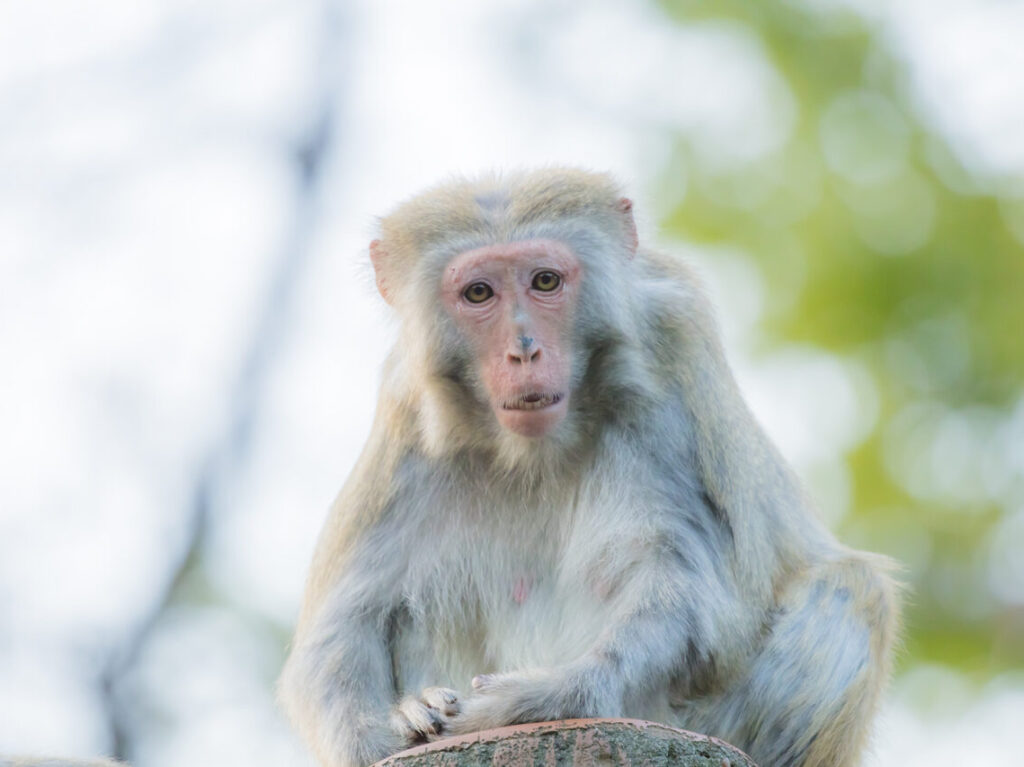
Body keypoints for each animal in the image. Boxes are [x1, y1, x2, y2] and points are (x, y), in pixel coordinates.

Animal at [276, 167, 901, 765]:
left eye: (545, 282)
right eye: (478, 292)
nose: (524, 349)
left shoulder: (670, 355)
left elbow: (688, 590)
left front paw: (545, 696)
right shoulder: (406, 411)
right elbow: (345, 625)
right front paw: (391, 724)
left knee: (851, 587)